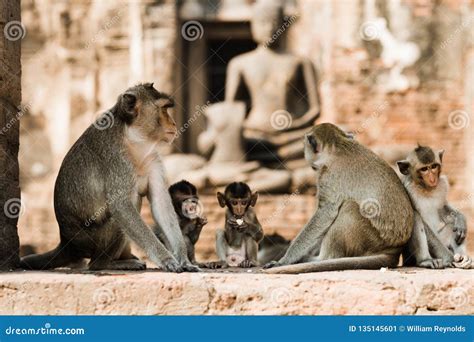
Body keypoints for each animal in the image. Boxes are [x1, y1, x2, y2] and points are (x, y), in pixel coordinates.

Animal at [19, 83, 198, 272]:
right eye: (163, 109)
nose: (173, 123)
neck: (133, 140)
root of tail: (67, 243)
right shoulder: (116, 160)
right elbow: (121, 206)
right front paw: (166, 259)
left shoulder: (153, 159)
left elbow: (160, 204)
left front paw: (183, 259)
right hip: (90, 240)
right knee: (126, 208)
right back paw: (106, 263)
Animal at [264, 123, 412, 276]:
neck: (338, 146)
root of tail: (394, 250)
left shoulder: (327, 176)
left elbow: (325, 213)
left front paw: (285, 260)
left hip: (372, 240)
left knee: (349, 207)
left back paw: (322, 259)